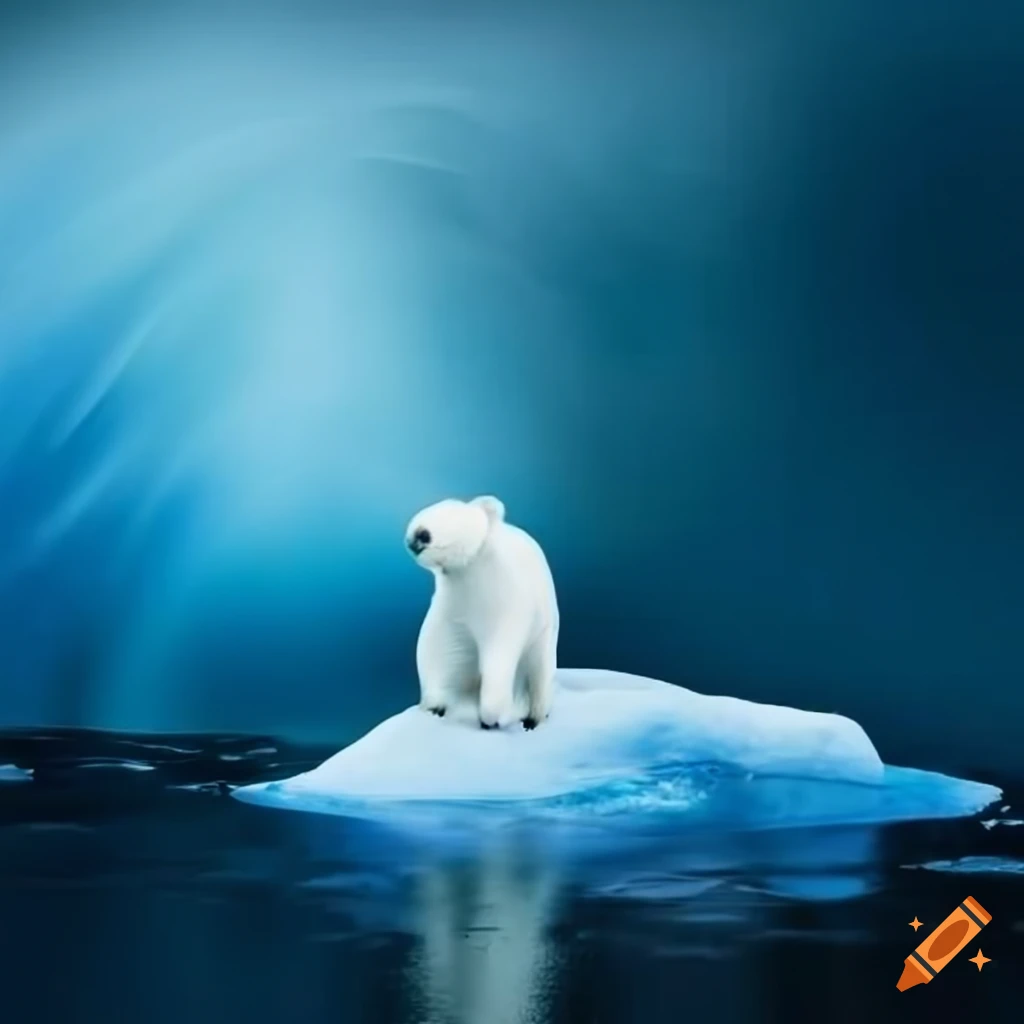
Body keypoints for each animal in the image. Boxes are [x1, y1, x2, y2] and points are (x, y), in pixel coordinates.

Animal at [405, 495, 559, 730]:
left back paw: (532, 718)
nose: (418, 534)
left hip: (544, 638)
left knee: (540, 676)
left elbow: (500, 655)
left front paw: (494, 716)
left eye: (453, 511)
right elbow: (439, 648)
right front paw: (434, 707)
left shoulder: (507, 603)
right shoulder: (453, 606)